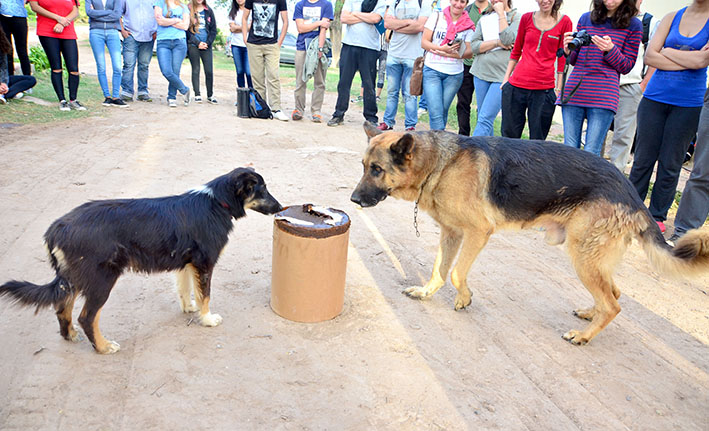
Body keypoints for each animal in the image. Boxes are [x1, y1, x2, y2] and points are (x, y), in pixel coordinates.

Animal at [0, 168, 282, 354]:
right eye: (263, 190)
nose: (280, 208)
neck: (217, 202)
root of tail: (57, 228)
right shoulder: (204, 263)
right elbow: (206, 296)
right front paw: (207, 319)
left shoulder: (186, 263)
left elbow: (186, 290)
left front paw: (188, 308)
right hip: (102, 280)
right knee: (87, 317)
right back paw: (103, 347)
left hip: (74, 279)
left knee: (62, 307)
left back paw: (70, 336)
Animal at [352, 123, 708, 346]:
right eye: (363, 166)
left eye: (377, 170)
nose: (353, 200)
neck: (440, 163)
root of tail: (632, 193)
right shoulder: (451, 233)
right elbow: (439, 270)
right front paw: (426, 293)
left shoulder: (478, 232)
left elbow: (455, 273)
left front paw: (464, 298)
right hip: (593, 258)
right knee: (614, 294)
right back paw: (589, 314)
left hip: (583, 257)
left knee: (613, 305)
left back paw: (583, 336)